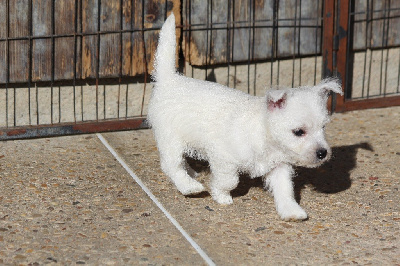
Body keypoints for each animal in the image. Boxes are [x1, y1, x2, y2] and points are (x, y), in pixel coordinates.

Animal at [148, 14, 342, 220]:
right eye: (299, 132)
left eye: (323, 128)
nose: (323, 153)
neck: (263, 135)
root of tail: (169, 79)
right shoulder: (224, 158)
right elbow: (229, 181)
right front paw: (221, 195)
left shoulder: (279, 166)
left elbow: (285, 189)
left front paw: (291, 210)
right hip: (170, 138)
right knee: (171, 165)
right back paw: (188, 186)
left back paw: (191, 173)